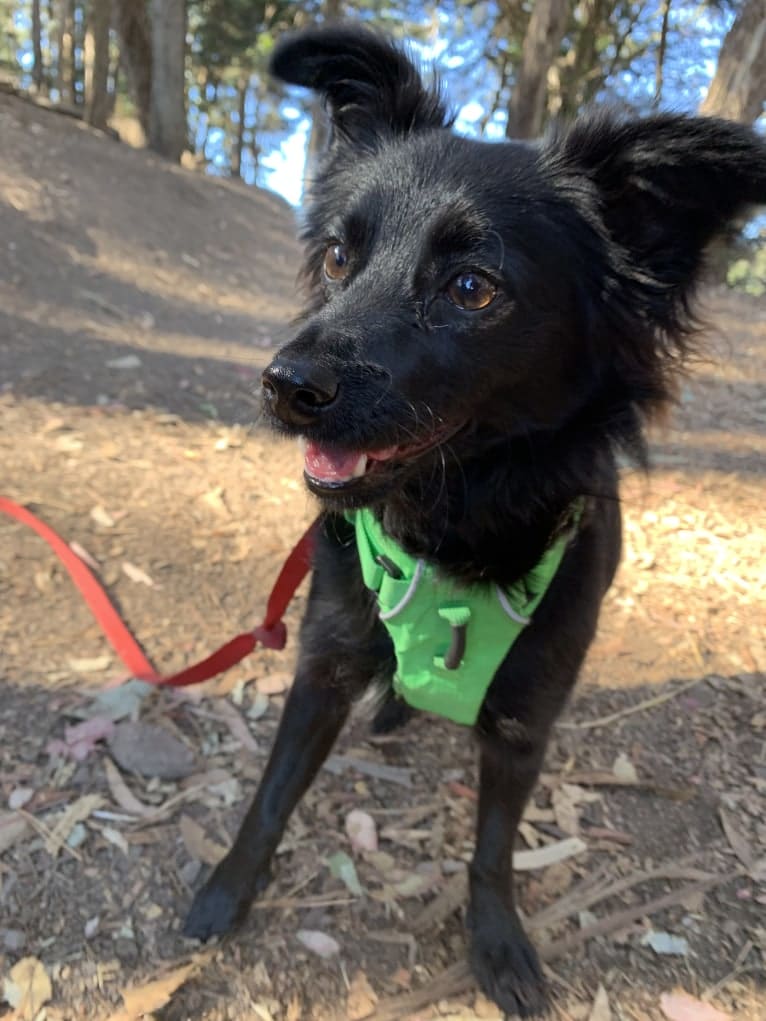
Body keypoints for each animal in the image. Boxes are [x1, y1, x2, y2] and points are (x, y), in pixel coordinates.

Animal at [184, 25, 766, 1021]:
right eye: (337, 257)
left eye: (470, 286)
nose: (283, 385)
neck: (455, 523)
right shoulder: (326, 659)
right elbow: (271, 796)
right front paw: (227, 890)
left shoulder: (527, 714)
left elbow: (494, 850)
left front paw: (498, 945)